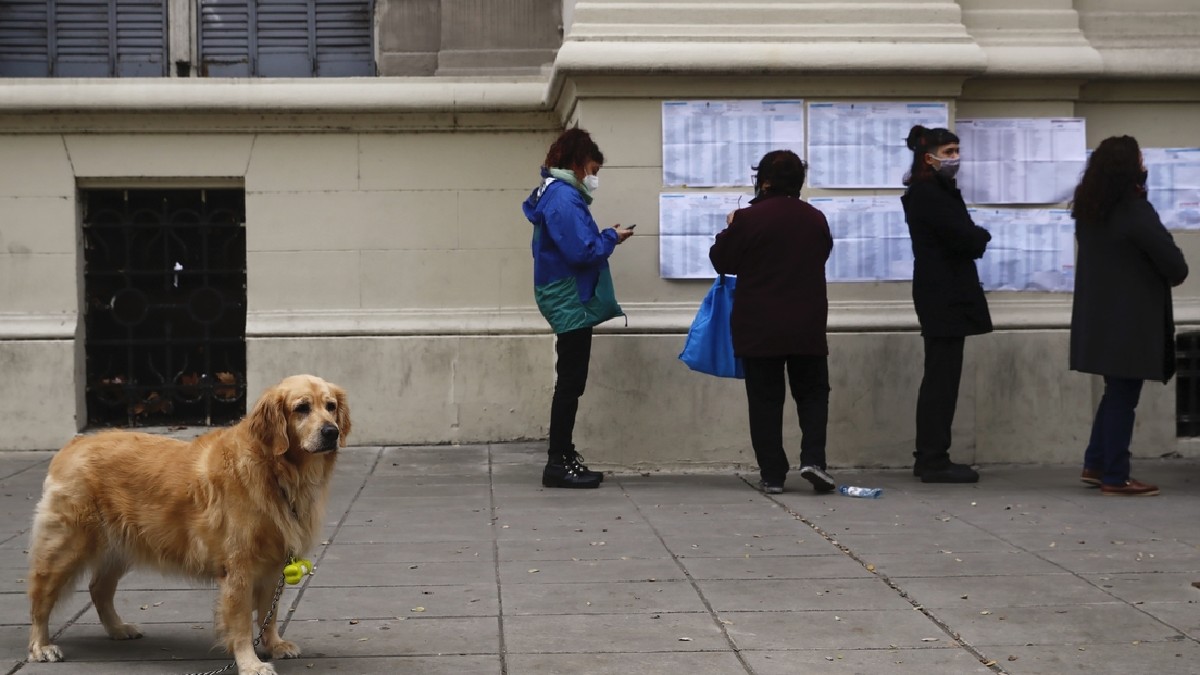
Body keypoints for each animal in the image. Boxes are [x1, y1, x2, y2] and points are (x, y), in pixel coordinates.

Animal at [25, 372, 350, 672]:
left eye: (330, 406)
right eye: (302, 408)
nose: (331, 432)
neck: (274, 469)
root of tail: (74, 444)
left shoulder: (273, 563)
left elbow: (270, 612)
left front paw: (274, 644)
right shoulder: (239, 568)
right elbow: (242, 623)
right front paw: (250, 663)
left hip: (120, 547)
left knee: (98, 589)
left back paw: (118, 629)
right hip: (67, 547)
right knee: (40, 597)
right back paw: (41, 646)